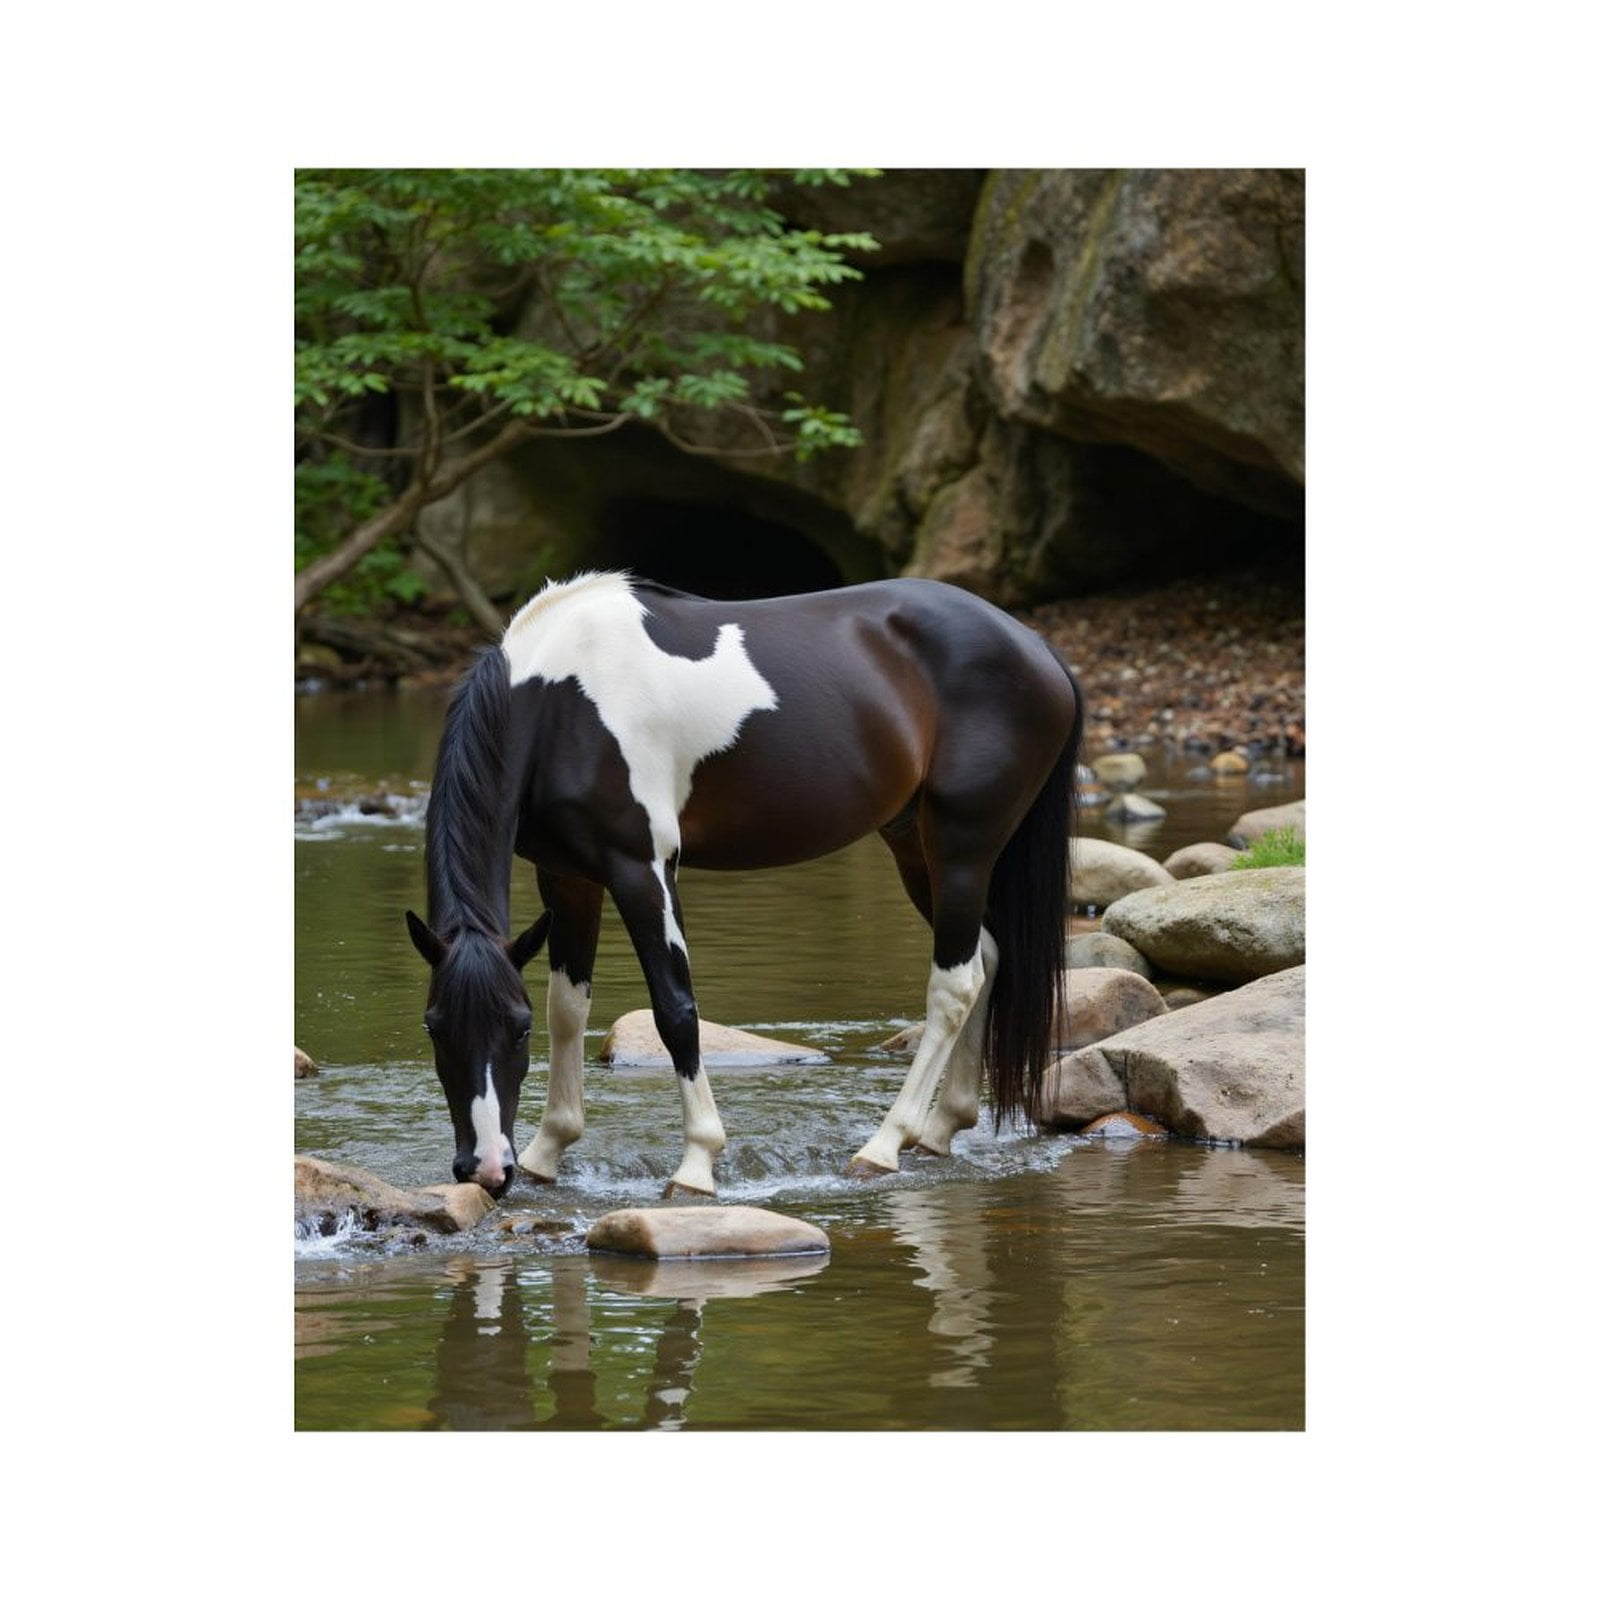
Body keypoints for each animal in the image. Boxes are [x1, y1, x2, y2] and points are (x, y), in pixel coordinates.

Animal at [406, 570, 1083, 1197]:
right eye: (434, 1026)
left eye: (516, 1029)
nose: (486, 1169)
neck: (563, 702)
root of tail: (1039, 649)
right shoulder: (568, 876)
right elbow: (570, 1009)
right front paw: (548, 1152)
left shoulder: (641, 867)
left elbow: (676, 1009)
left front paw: (697, 1164)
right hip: (914, 845)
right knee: (985, 959)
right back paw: (943, 1128)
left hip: (960, 848)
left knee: (954, 984)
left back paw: (884, 1146)